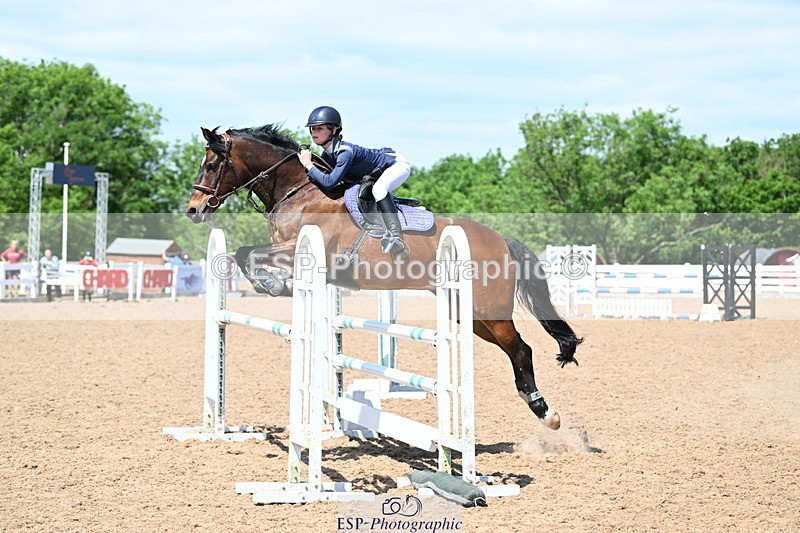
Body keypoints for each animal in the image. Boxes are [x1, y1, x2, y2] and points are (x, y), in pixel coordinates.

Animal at [186, 124, 582, 430]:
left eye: (212, 164)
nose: (193, 210)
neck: (300, 191)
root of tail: (500, 239)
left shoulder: (303, 250)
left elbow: (248, 254)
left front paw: (271, 283)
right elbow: (241, 255)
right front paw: (271, 284)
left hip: (490, 310)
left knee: (521, 348)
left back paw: (545, 412)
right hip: (466, 313)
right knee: (513, 348)